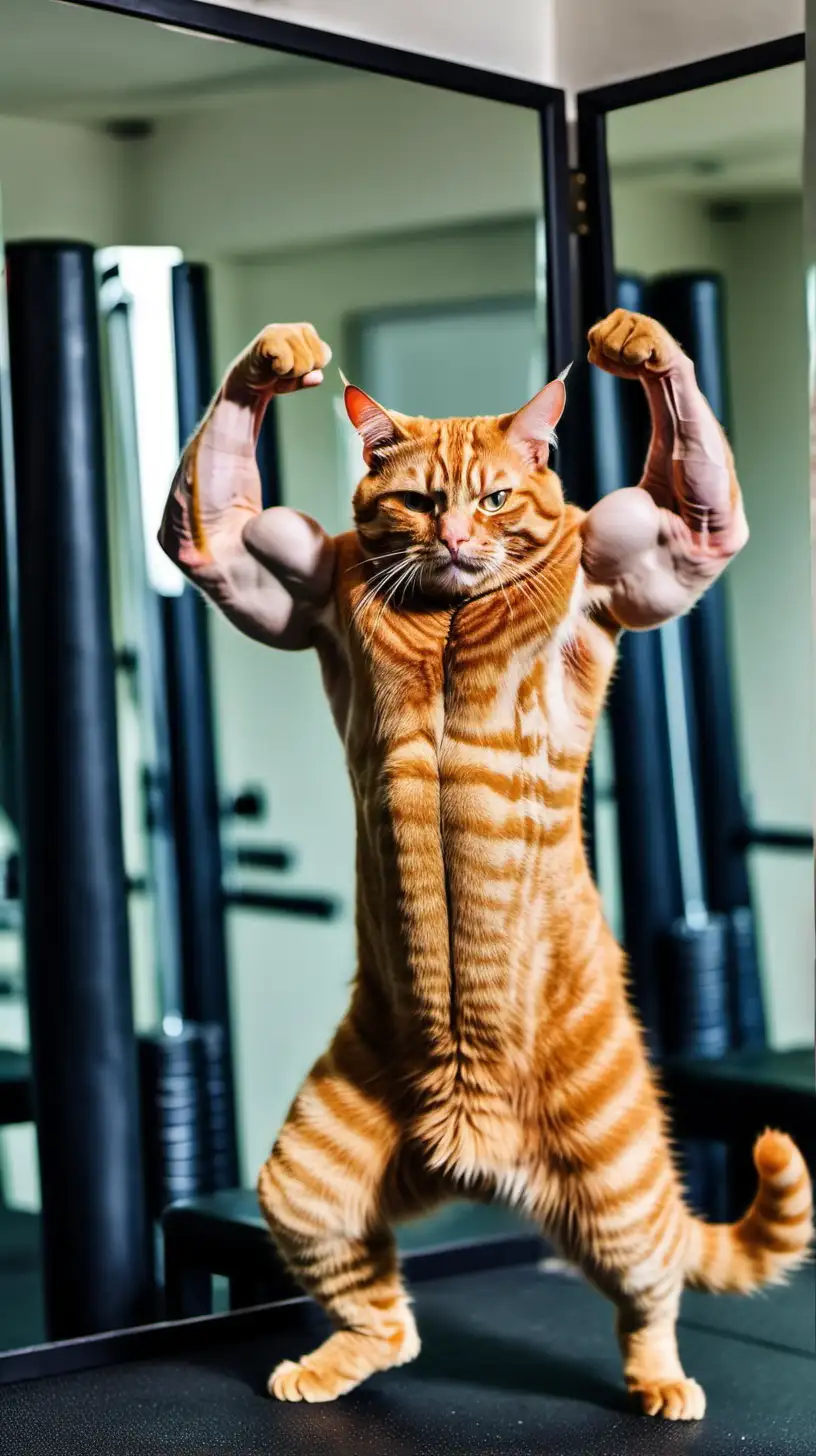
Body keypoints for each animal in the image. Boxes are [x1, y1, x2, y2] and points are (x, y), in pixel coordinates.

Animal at [158, 310, 810, 1421]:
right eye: (421, 501)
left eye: (498, 497)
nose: (459, 540)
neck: (451, 601)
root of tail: (475, 1169)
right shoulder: (252, 561)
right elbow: (211, 522)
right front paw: (275, 357)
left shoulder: (658, 547)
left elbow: (694, 510)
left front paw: (636, 341)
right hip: (311, 1175)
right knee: (389, 1318)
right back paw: (332, 1363)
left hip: (620, 1183)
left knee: (652, 1291)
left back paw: (662, 1380)